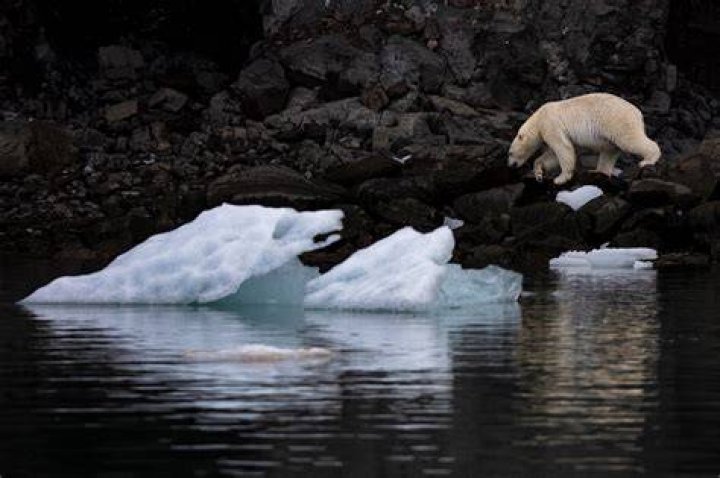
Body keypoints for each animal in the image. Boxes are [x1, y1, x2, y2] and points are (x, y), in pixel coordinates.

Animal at [507, 93, 661, 185]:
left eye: (510, 153)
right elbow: (553, 156)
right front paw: (539, 173)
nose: (510, 165)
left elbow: (563, 148)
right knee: (609, 152)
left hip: (617, 121)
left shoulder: (551, 125)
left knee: (630, 141)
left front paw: (560, 179)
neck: (538, 119)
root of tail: (638, 113)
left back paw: (647, 161)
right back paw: (598, 171)